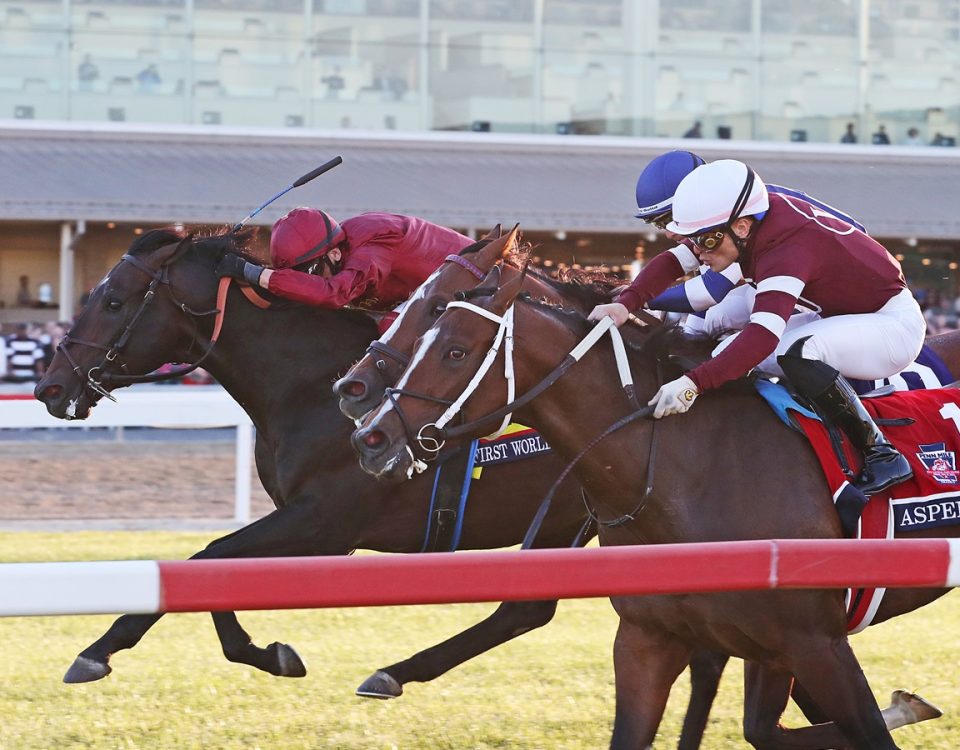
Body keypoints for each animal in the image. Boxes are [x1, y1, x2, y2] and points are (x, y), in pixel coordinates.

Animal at [33, 231, 588, 700]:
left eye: (112, 301)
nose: (49, 387)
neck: (314, 387)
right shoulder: (307, 523)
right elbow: (215, 567)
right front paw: (271, 653)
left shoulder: (325, 524)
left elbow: (208, 558)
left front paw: (98, 652)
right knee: (526, 608)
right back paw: (395, 673)